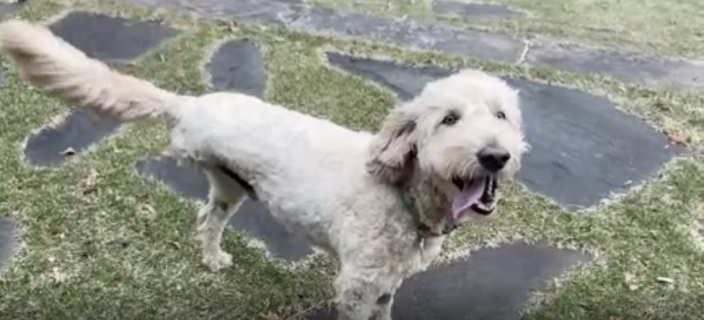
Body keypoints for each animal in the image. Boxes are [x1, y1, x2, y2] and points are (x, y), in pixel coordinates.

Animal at [0, 20, 524, 320]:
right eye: (449, 120)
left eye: (501, 115)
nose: (494, 156)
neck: (405, 195)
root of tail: (191, 104)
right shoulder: (357, 284)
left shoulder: (385, 283)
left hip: (228, 187)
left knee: (206, 220)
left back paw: (212, 258)